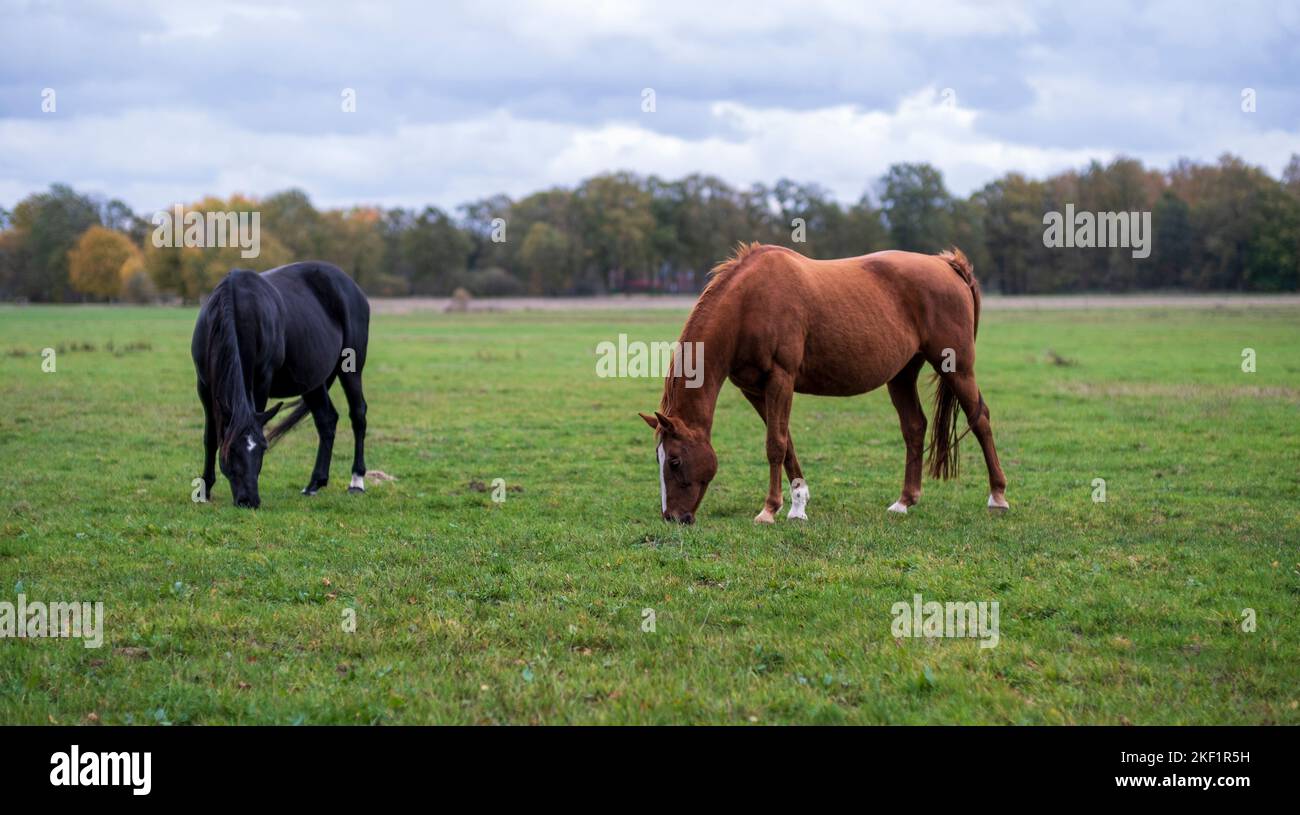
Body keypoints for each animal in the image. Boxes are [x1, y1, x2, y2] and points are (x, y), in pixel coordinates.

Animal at [191, 261, 371, 506]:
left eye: (263, 448)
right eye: (232, 450)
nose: (249, 500)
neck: (235, 309)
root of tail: (354, 288)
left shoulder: (261, 380)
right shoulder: (205, 386)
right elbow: (210, 438)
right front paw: (205, 489)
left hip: (351, 367)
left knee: (358, 414)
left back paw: (356, 481)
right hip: (313, 380)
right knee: (327, 420)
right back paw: (314, 483)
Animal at [639, 241, 1003, 525]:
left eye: (674, 460)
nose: (672, 517)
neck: (750, 302)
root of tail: (947, 264)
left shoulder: (781, 379)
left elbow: (775, 445)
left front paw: (769, 510)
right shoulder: (755, 390)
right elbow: (786, 443)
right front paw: (797, 504)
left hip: (957, 367)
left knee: (980, 420)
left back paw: (998, 496)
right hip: (902, 374)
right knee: (915, 427)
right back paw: (904, 502)